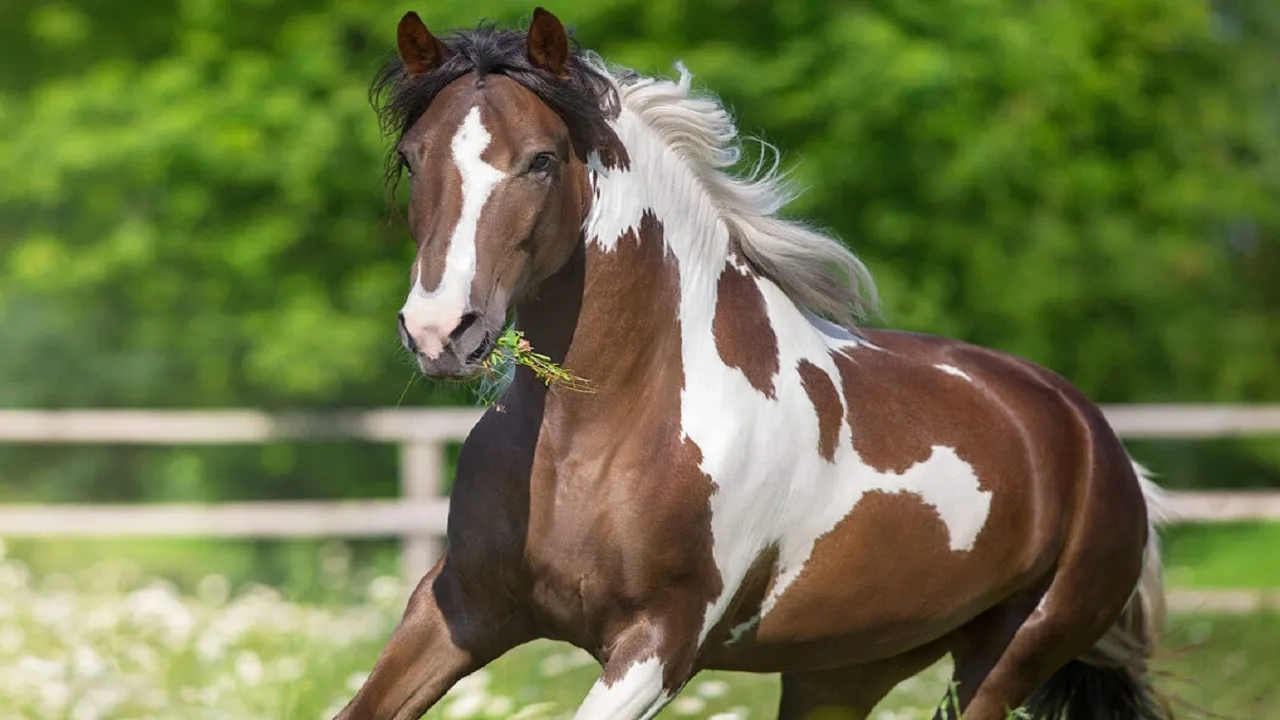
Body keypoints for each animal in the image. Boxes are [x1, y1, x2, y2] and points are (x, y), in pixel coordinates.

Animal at [337, 8, 1172, 720]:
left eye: (541, 161)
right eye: (412, 158)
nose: (441, 331)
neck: (598, 433)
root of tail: (1093, 435)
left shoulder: (658, 645)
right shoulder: (462, 608)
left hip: (1006, 659)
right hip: (842, 669)